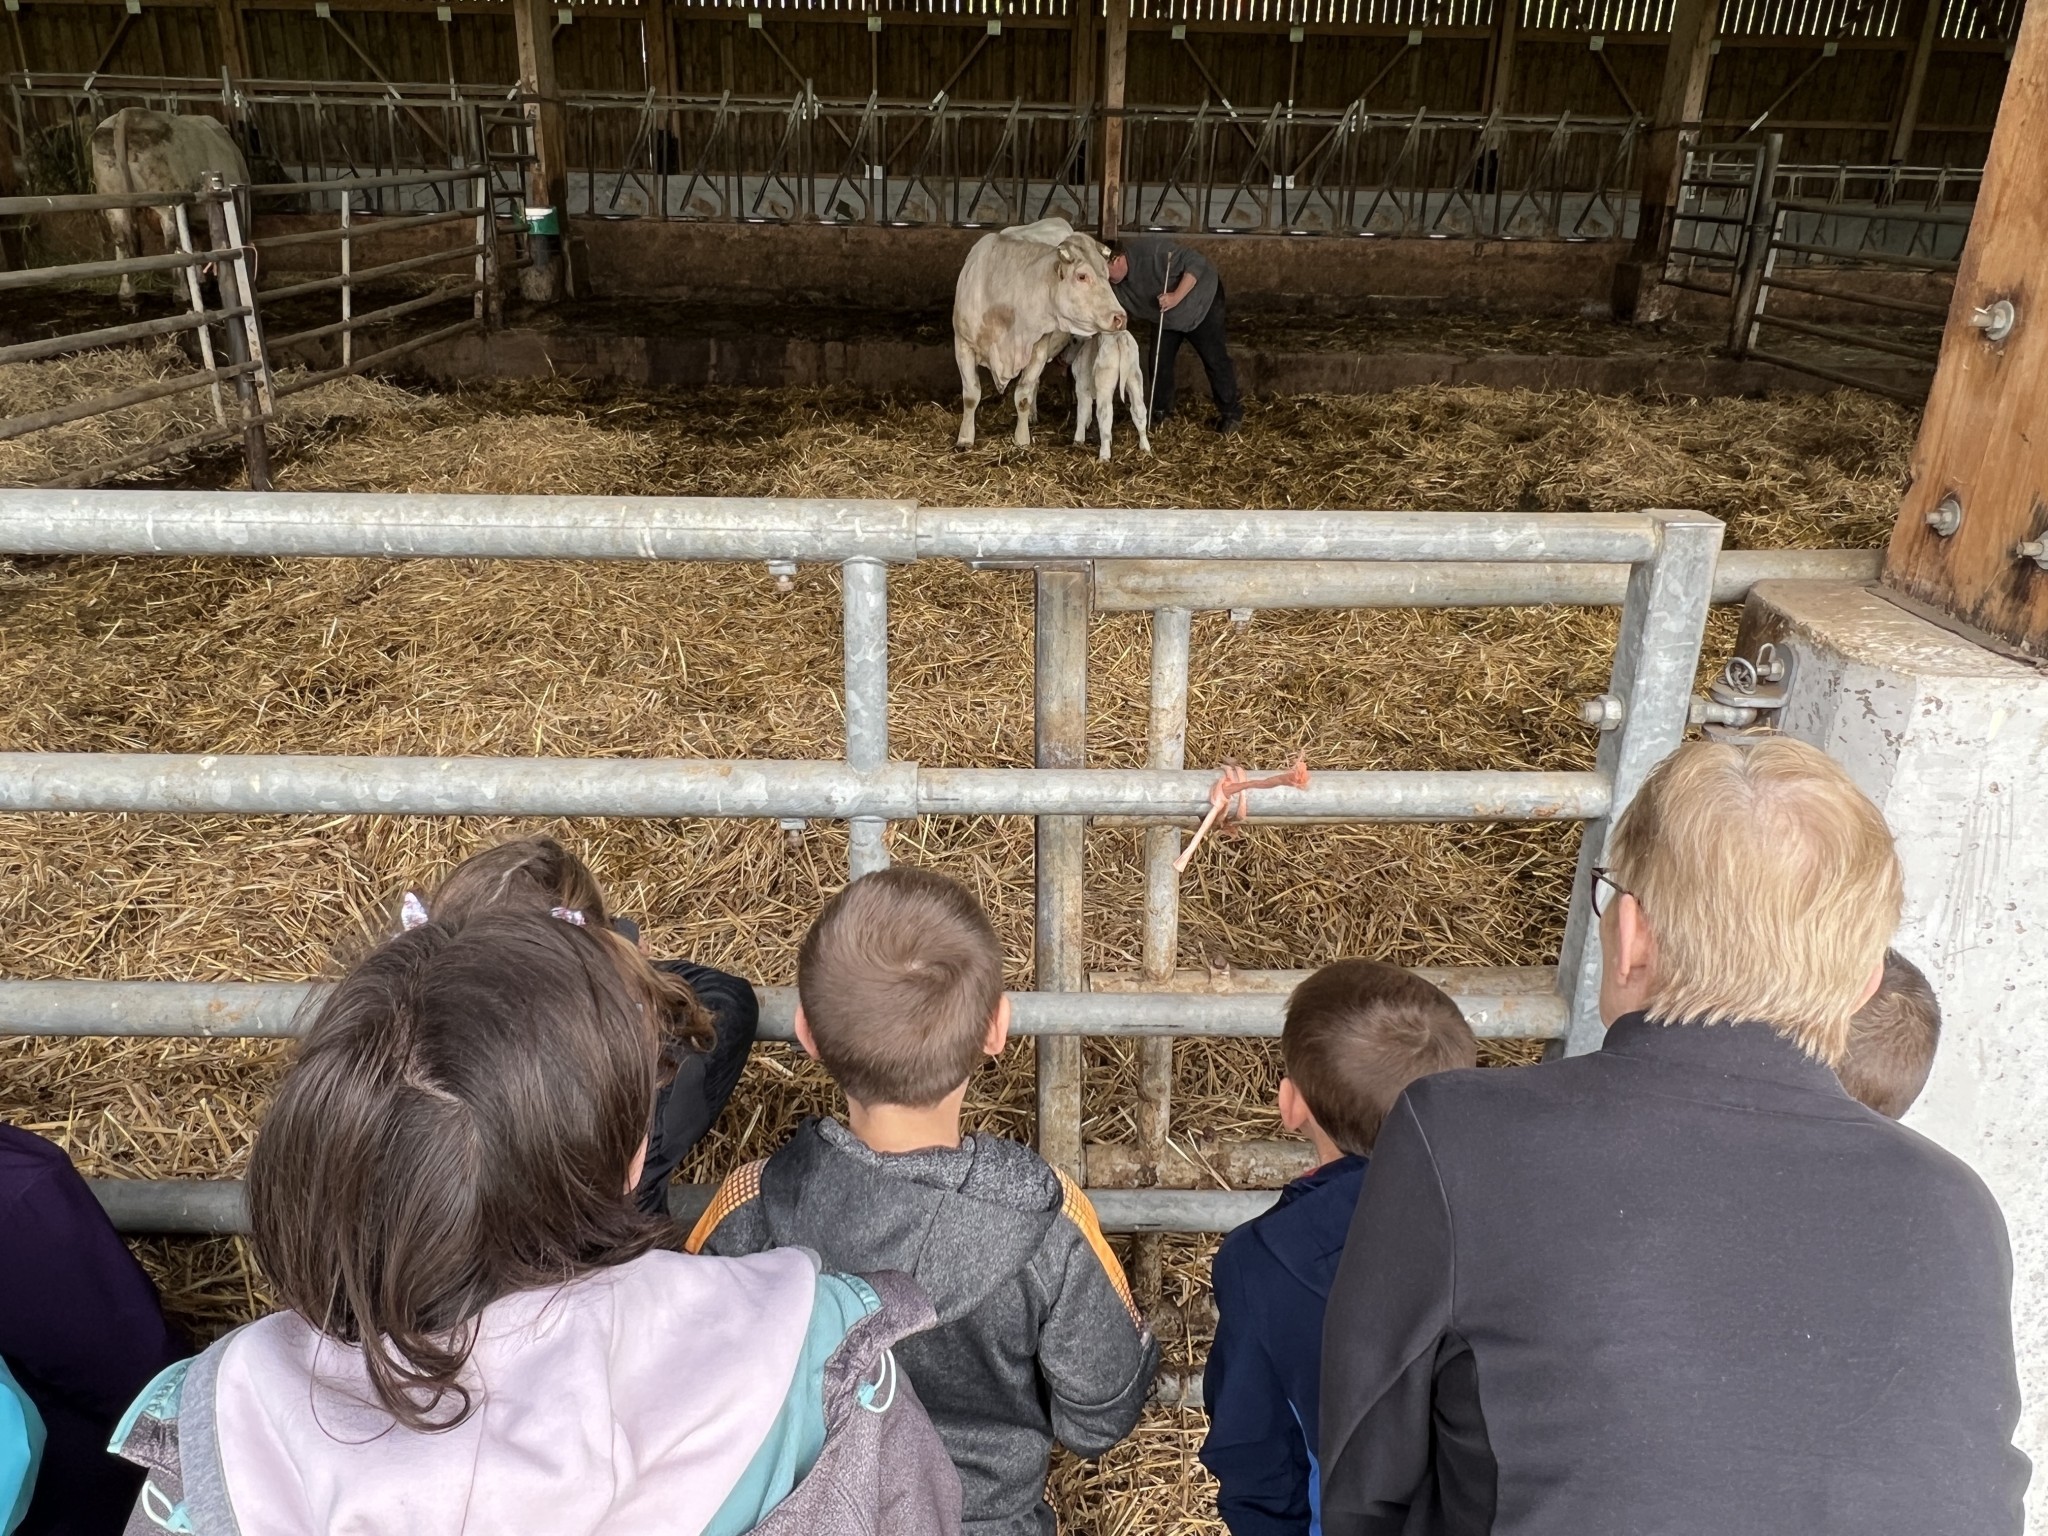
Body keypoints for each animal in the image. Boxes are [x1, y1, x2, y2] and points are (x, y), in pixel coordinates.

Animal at [88, 109, 249, 309]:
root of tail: (126, 114)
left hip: (114, 202)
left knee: (122, 242)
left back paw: (128, 295)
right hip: (166, 204)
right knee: (173, 245)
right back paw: (182, 294)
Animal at [950, 219, 1130, 454]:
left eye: (1107, 276)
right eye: (1082, 276)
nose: (1120, 317)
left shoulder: (1038, 348)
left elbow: (1023, 396)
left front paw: (1021, 439)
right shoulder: (962, 344)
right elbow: (971, 395)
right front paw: (965, 438)